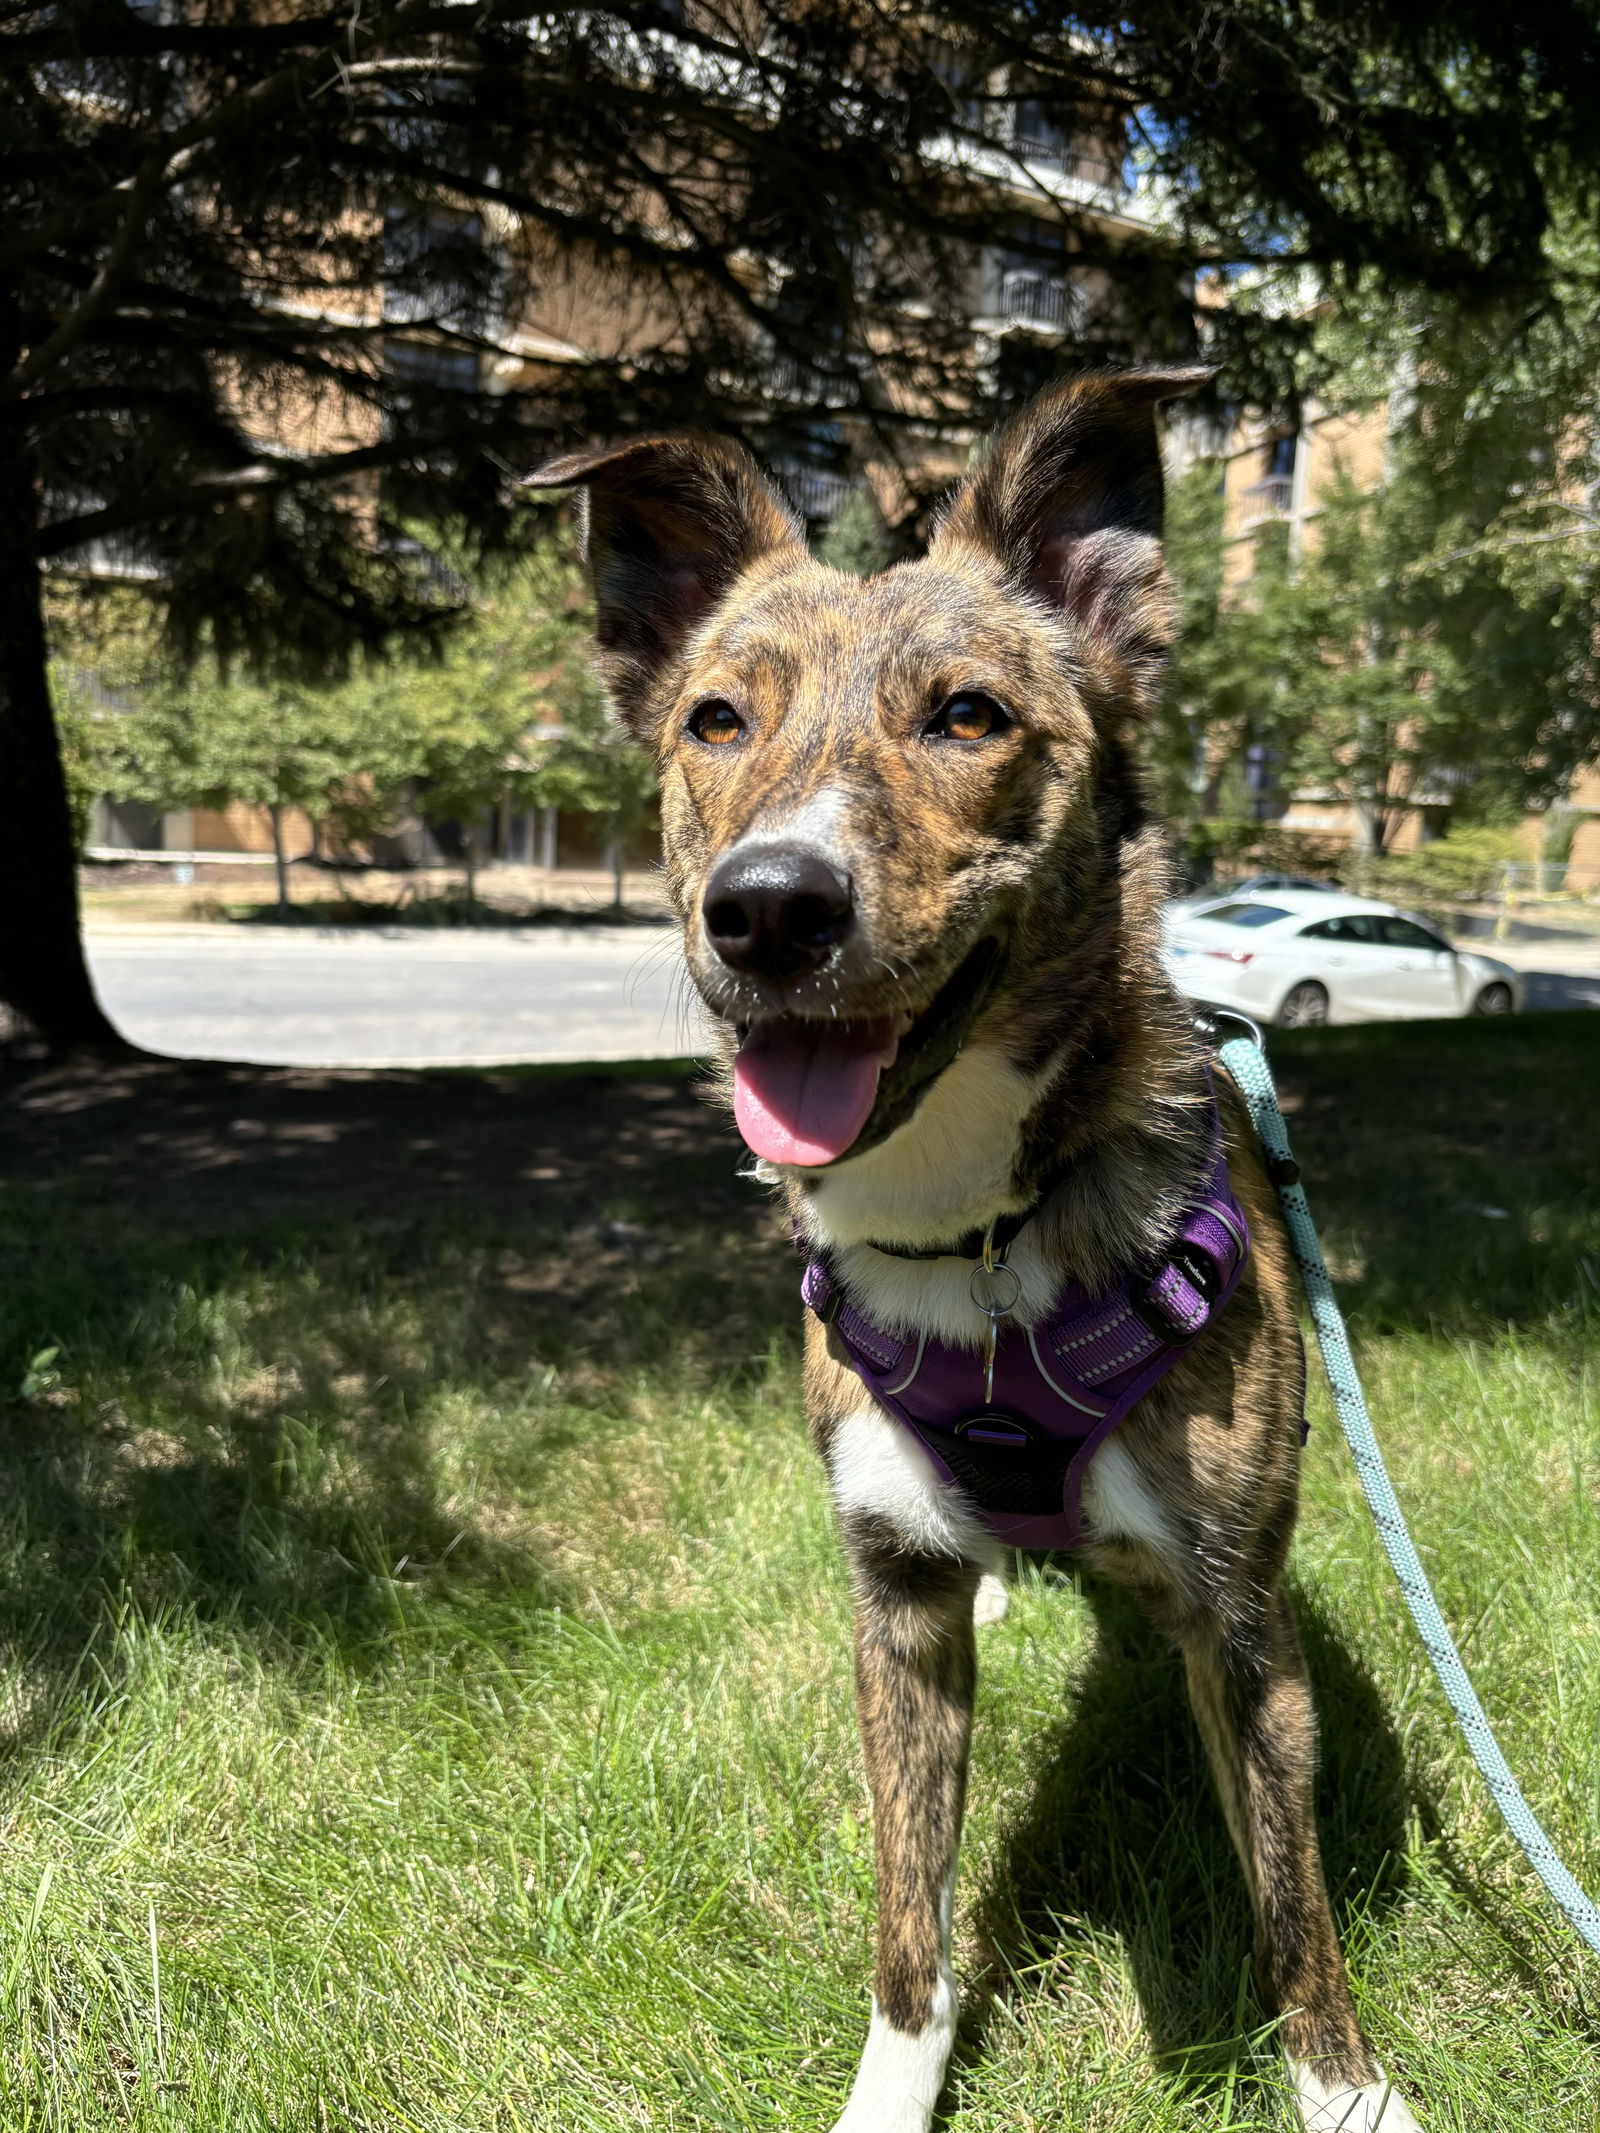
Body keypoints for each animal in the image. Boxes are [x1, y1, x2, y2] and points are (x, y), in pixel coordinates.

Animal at [541, 375, 1425, 2133]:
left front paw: (1352, 2096)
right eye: (714, 721)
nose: (768, 908)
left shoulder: (1240, 1623)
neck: (976, 1233)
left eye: (968, 715)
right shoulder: (893, 1613)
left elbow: (1294, 1913)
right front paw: (893, 2088)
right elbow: (912, 1917)